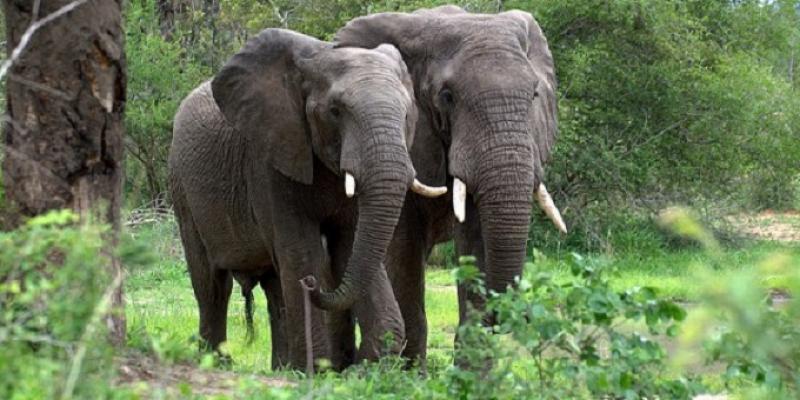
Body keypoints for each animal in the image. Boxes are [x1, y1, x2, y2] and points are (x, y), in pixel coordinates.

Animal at [169, 28, 446, 370]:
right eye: (335, 111)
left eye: (407, 115)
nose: (313, 285)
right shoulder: (269, 160)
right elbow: (301, 252)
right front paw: (318, 371)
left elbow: (350, 247)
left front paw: (365, 368)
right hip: (182, 189)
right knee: (212, 286)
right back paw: (218, 364)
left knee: (274, 288)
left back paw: (281, 369)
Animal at [324, 6, 568, 368]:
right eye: (447, 96)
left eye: (535, 94)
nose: (522, 316)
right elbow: (403, 248)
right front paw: (411, 374)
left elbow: (476, 238)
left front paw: (473, 373)